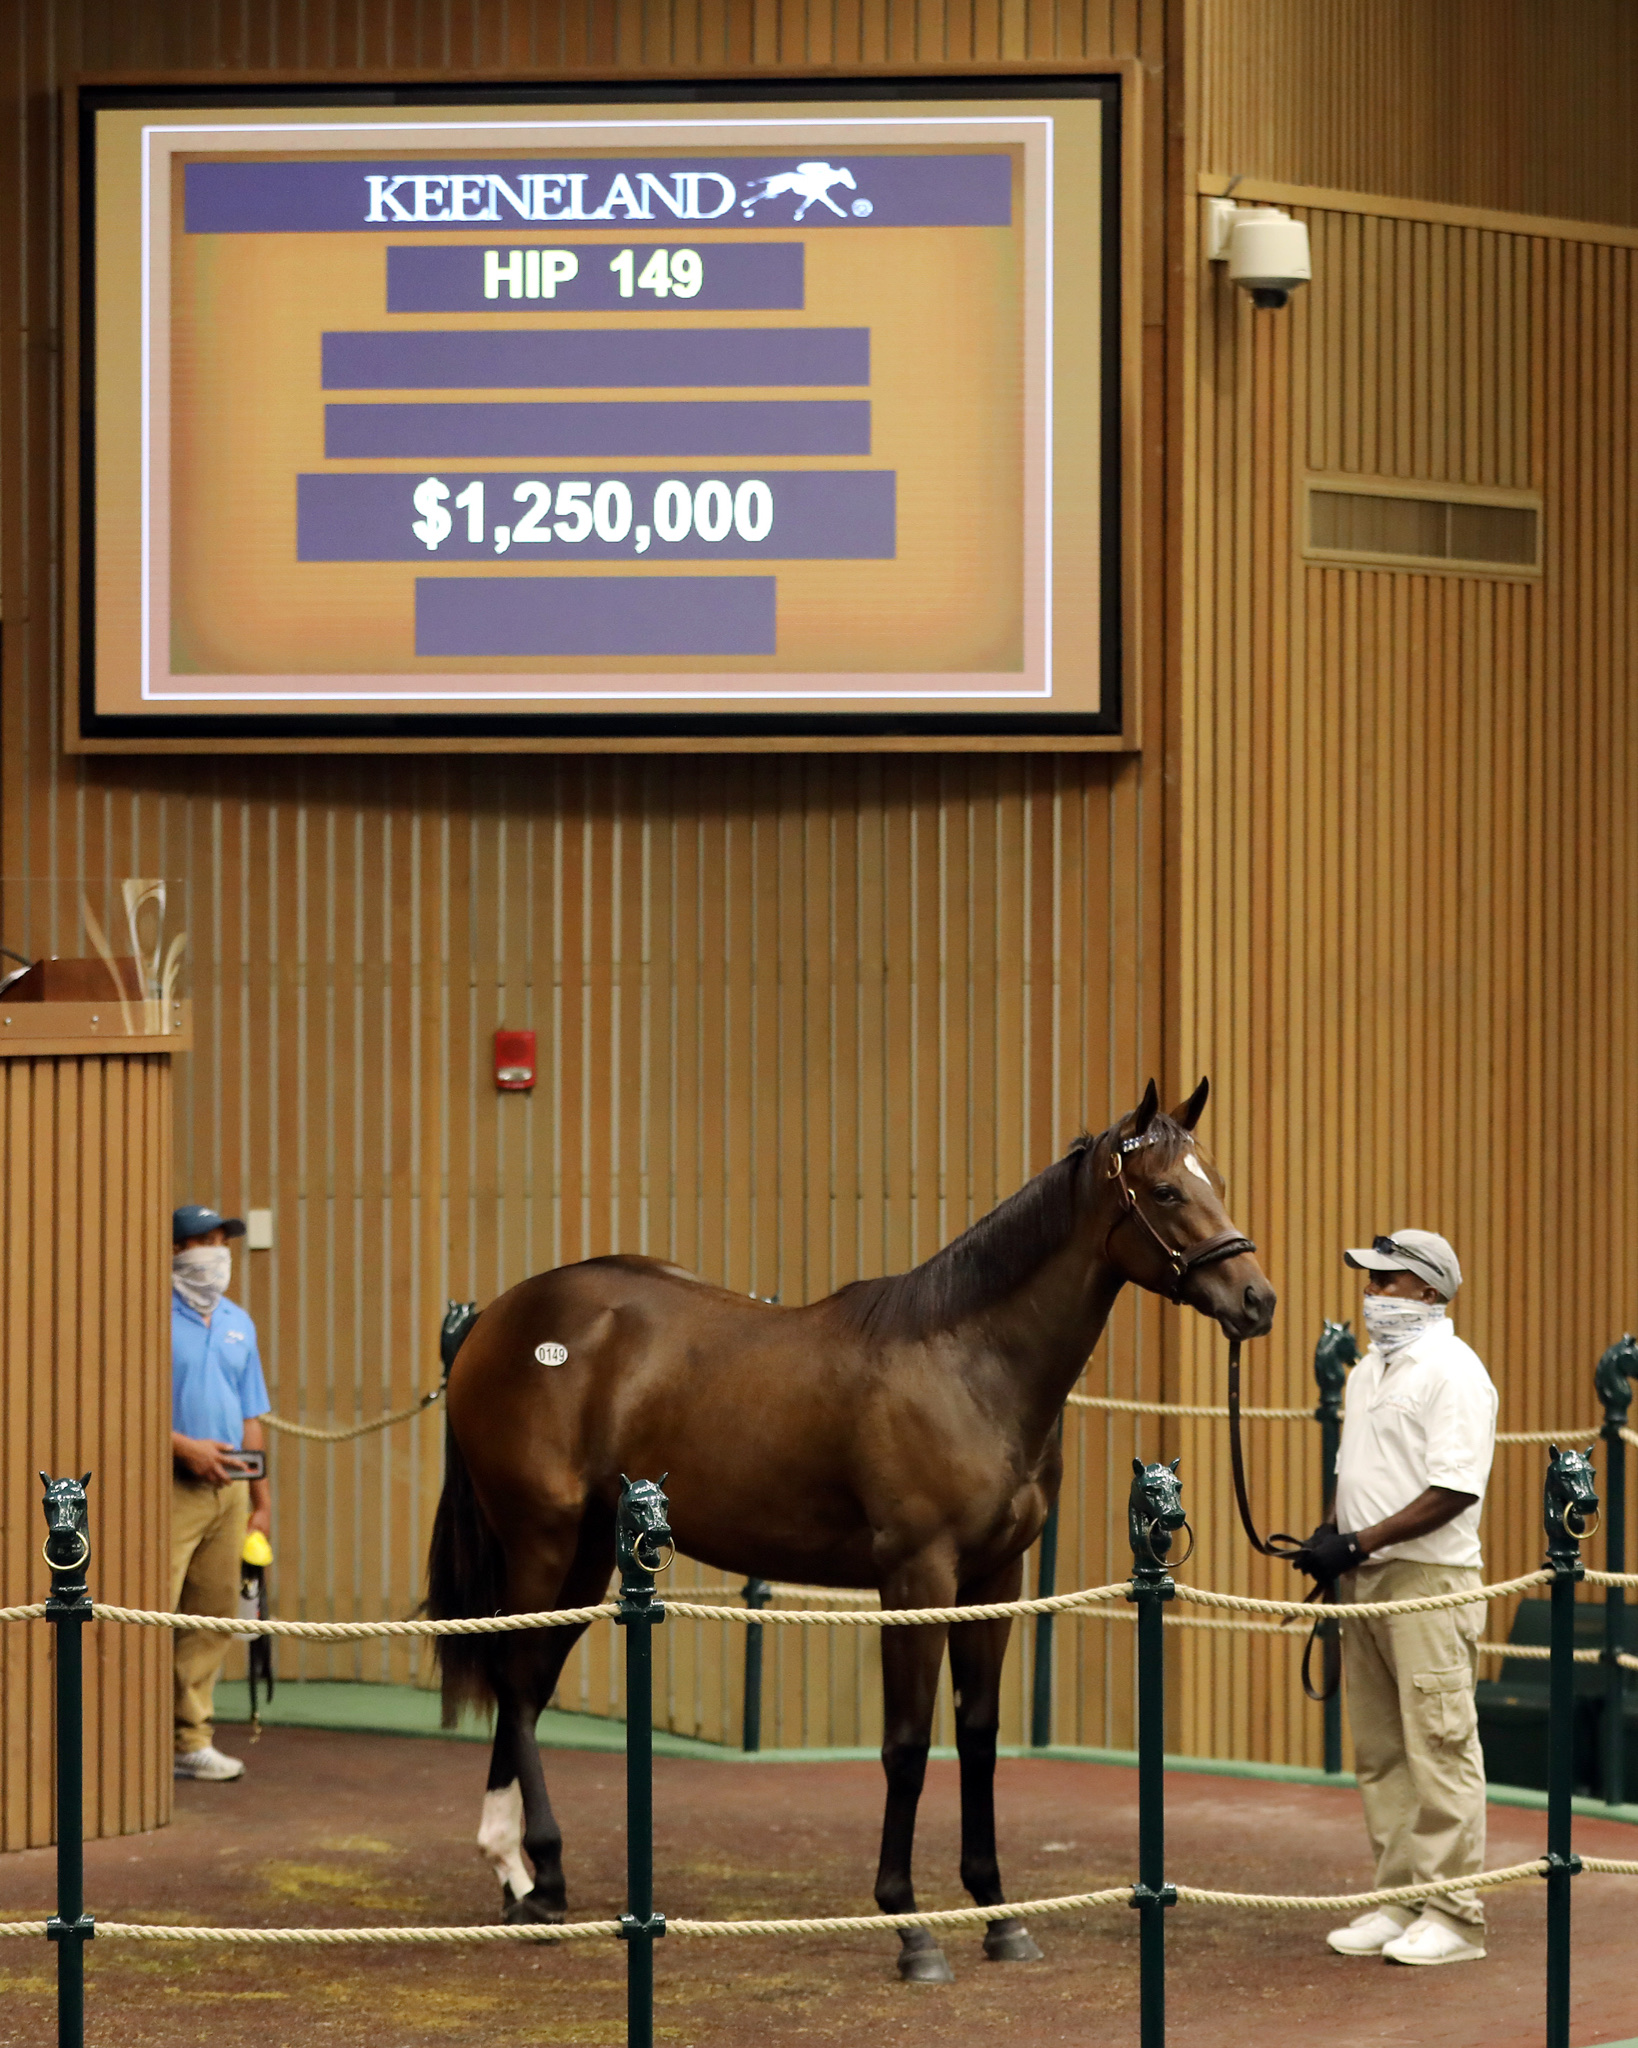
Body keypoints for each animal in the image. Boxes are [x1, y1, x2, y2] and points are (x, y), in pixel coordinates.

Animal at [427, 1081, 1269, 1974]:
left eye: (1217, 1180)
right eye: (1167, 1191)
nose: (1259, 1299)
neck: (967, 1364)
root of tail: (498, 1320)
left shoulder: (994, 1579)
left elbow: (978, 1736)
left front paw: (999, 1915)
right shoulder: (916, 1578)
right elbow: (907, 1744)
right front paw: (908, 1923)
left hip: (589, 1553)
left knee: (528, 1680)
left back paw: (517, 1874)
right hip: (541, 1539)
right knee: (517, 1683)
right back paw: (541, 1877)